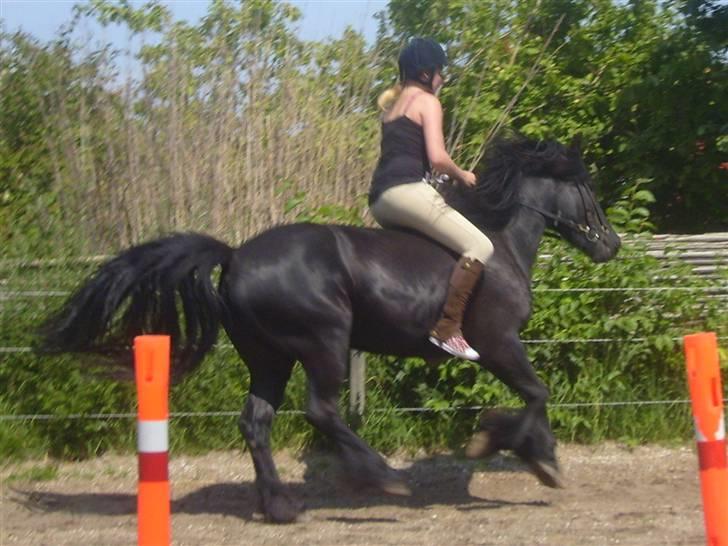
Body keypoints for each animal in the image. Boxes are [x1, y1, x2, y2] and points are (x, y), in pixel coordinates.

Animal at [40, 135, 621, 523]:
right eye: (586, 187)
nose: (611, 244)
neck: (499, 244)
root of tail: (235, 256)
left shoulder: (499, 348)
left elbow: (536, 395)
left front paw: (532, 454)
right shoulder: (498, 343)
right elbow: (537, 393)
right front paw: (518, 449)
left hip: (269, 357)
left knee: (256, 420)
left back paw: (279, 505)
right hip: (324, 342)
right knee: (320, 410)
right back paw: (383, 478)